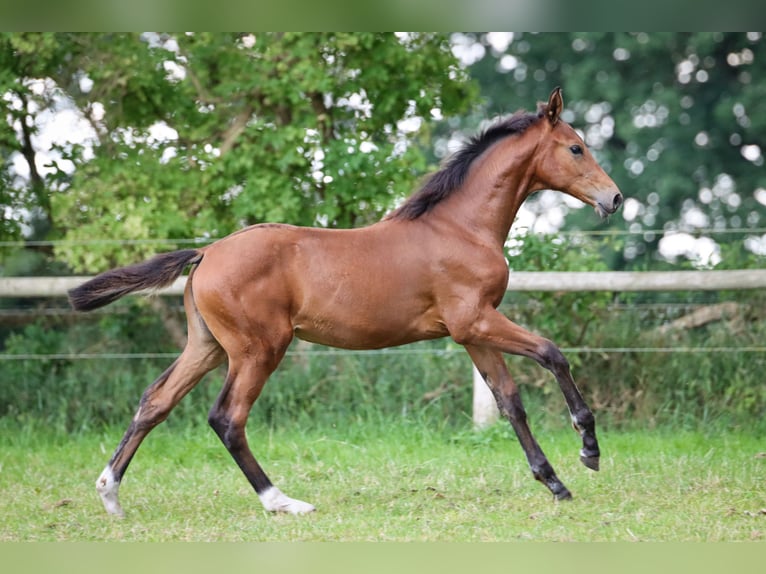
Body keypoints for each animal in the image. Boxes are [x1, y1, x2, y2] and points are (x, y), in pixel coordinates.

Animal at [70, 89, 624, 516]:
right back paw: (282, 502)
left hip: (206, 346)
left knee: (155, 402)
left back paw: (110, 495)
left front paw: (554, 482)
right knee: (226, 418)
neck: (460, 227)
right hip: (257, 350)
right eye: (576, 148)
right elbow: (553, 353)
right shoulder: (477, 321)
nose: (615, 199)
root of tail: (205, 253)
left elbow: (510, 402)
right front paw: (589, 449)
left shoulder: (471, 331)